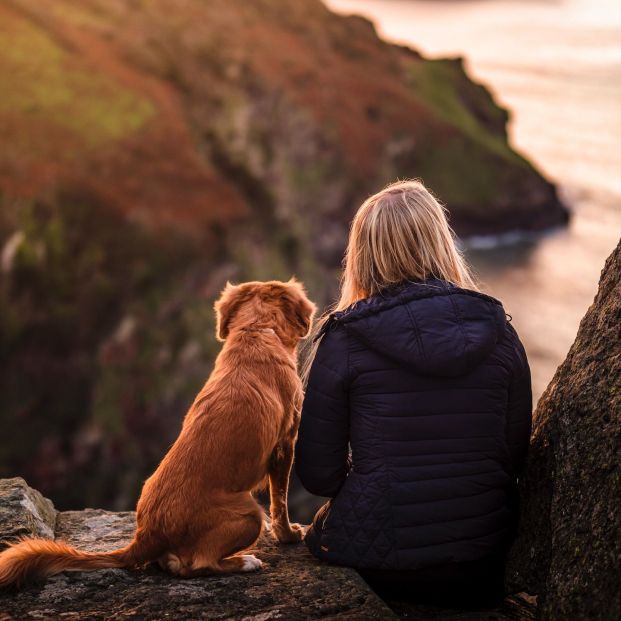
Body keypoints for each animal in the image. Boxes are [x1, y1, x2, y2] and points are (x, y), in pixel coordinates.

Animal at [0, 278, 318, 584]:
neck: (256, 331)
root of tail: (146, 535)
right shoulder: (285, 443)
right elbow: (280, 500)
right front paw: (289, 535)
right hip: (249, 513)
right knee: (197, 564)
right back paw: (244, 562)